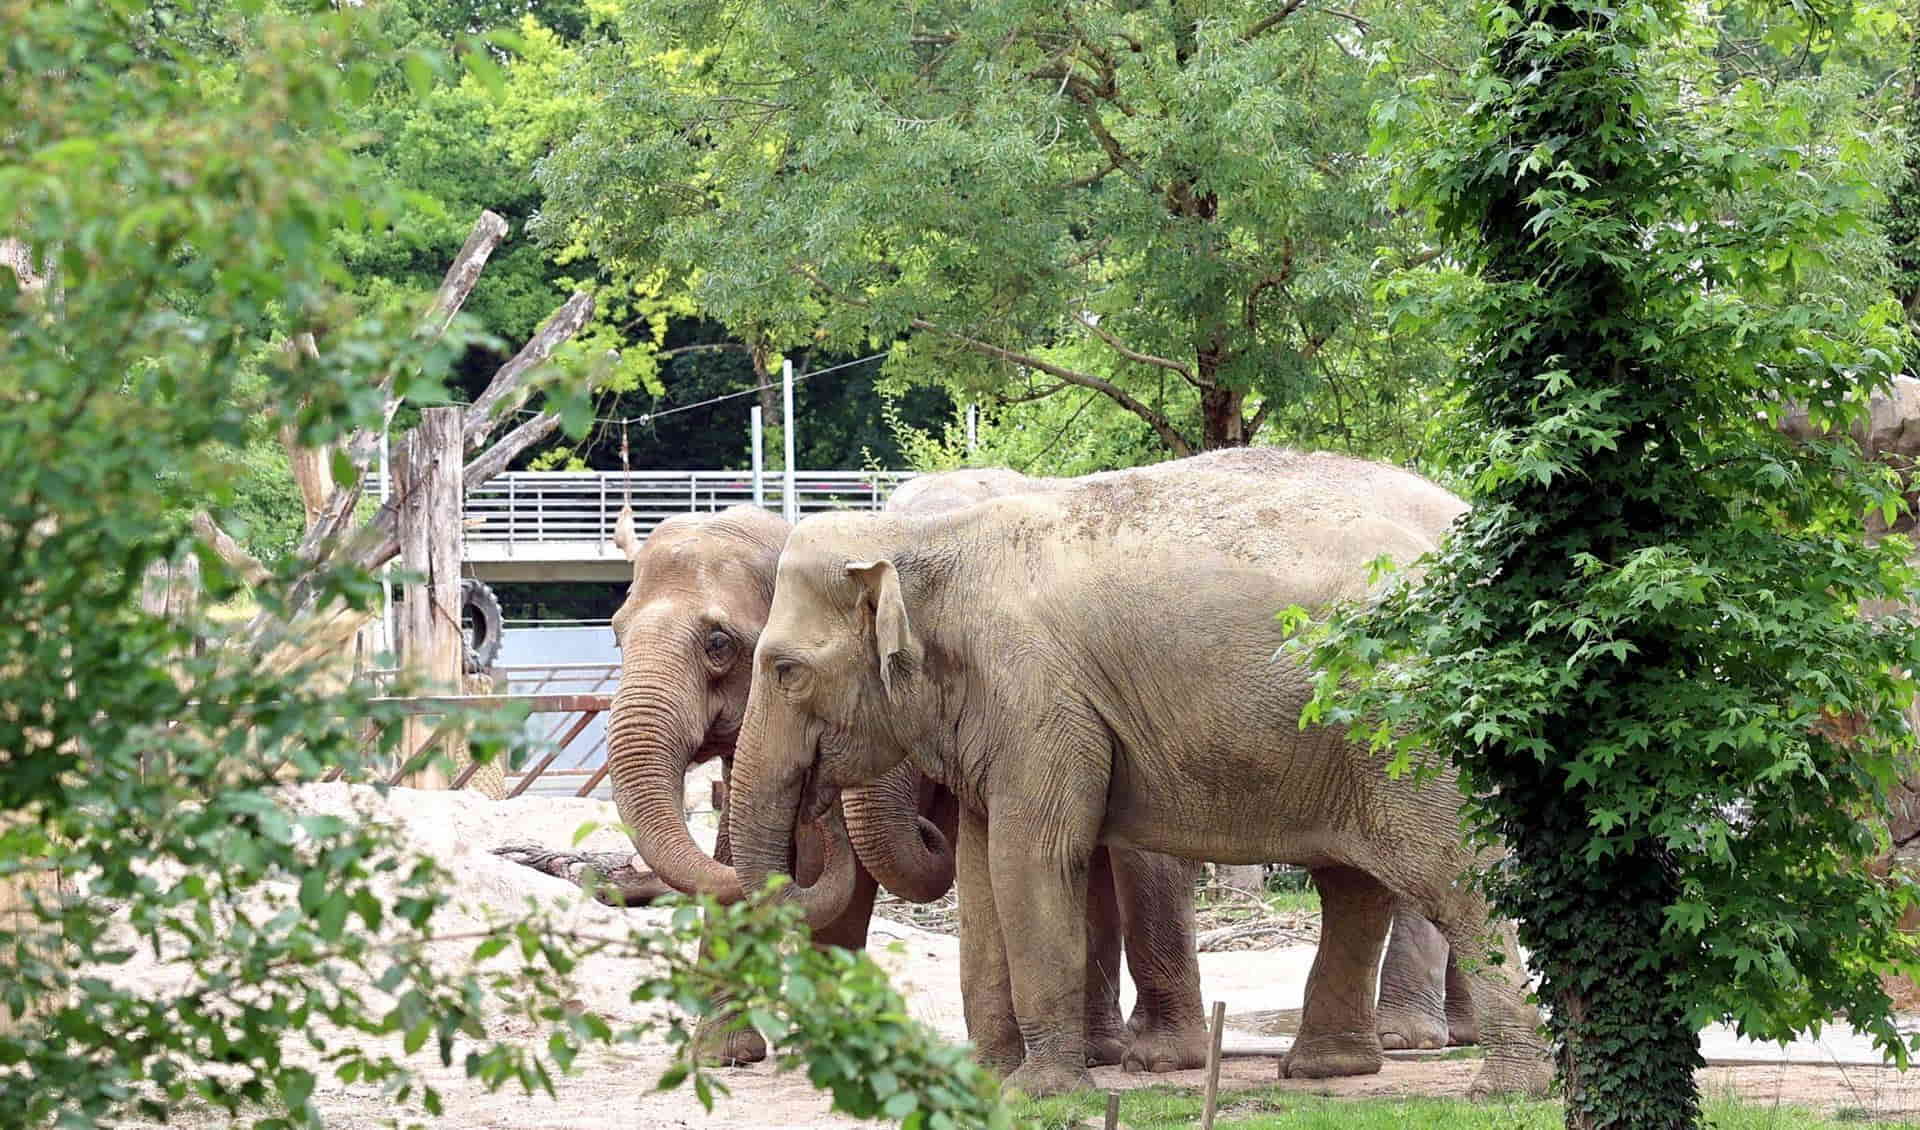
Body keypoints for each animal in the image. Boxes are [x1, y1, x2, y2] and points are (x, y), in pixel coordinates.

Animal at [725, 447, 1551, 1089]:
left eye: (786, 670)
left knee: (1449, 874)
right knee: (1357, 881)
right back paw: (1326, 1070)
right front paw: (992, 1082)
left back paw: (1502, 1086)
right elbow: (985, 871)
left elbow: (1031, 857)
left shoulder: (1038, 691)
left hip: (1406, 728)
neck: (927, 540)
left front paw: (1044, 1094)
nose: (815, 803)